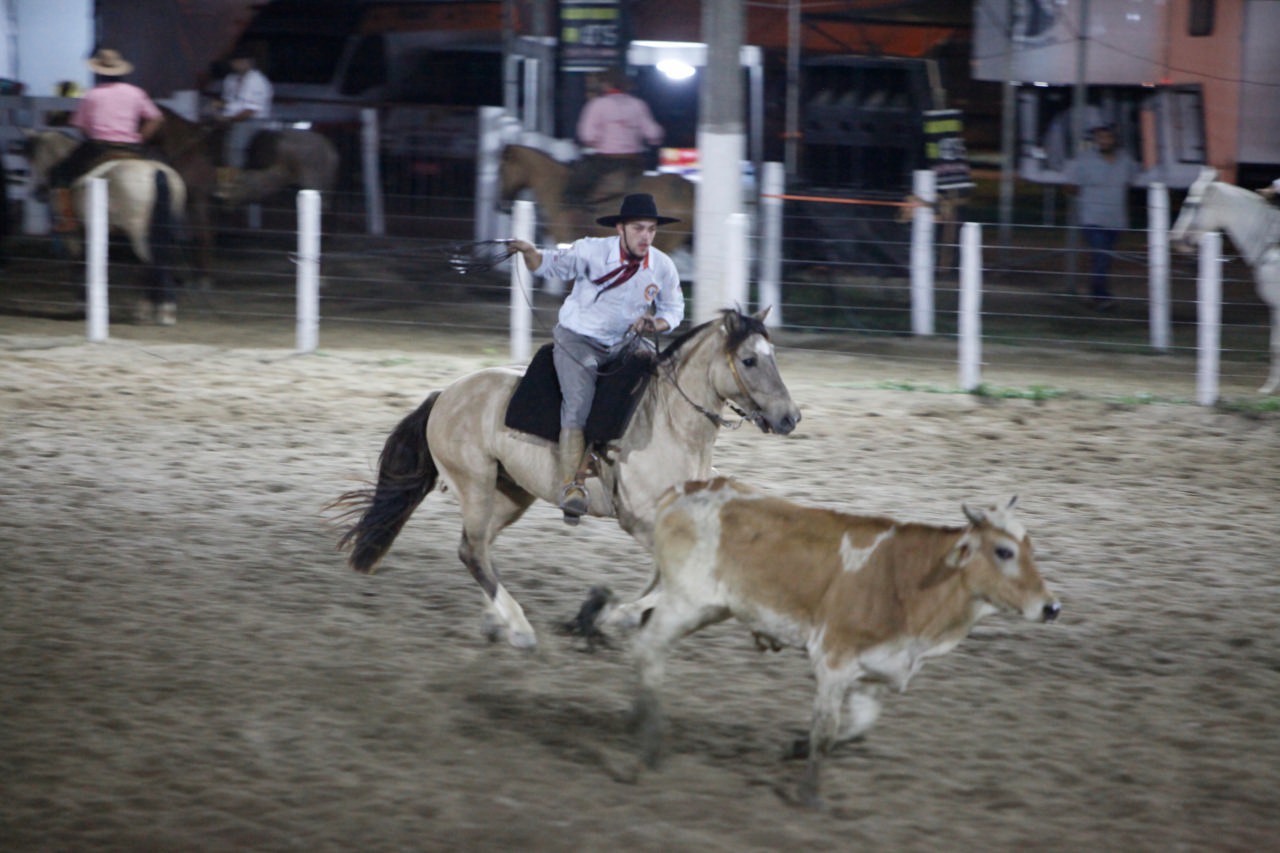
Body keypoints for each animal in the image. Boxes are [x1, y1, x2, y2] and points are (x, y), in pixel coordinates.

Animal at [24, 129, 186, 318]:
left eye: (33, 158)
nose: (38, 192)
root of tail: (156, 170)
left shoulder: (73, 235)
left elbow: (78, 263)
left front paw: (82, 304)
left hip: (139, 233)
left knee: (153, 261)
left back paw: (161, 310)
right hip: (166, 230)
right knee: (161, 260)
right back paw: (153, 308)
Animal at [335, 308, 803, 648]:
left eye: (774, 356)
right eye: (748, 360)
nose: (789, 417)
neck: (670, 422)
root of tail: (445, 395)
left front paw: (606, 617)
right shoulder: (640, 522)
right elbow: (678, 579)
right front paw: (610, 615)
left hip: (510, 494)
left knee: (478, 548)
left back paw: (496, 621)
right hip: (475, 483)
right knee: (472, 551)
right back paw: (520, 628)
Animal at [609, 479, 1059, 804]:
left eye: (1031, 549)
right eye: (1003, 551)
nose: (1051, 607)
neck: (908, 580)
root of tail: (686, 489)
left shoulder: (876, 670)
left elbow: (858, 725)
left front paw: (795, 746)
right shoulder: (834, 660)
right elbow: (827, 728)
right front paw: (809, 793)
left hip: (705, 607)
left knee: (631, 627)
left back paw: (634, 717)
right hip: (686, 603)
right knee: (647, 647)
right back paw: (648, 747)